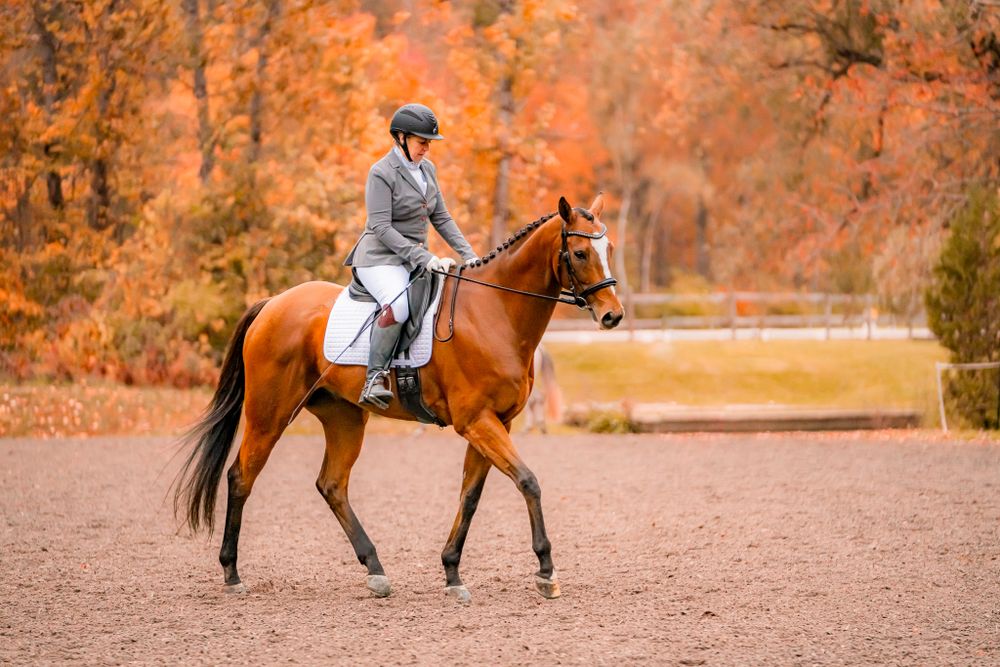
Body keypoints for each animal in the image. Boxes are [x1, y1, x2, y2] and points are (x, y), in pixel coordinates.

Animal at [173, 194, 624, 603]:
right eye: (580, 253)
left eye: (610, 250)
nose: (613, 316)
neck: (496, 311)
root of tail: (273, 303)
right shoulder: (477, 421)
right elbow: (528, 481)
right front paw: (546, 571)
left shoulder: (496, 422)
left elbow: (471, 496)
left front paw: (452, 572)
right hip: (270, 415)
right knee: (241, 477)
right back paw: (232, 573)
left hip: (345, 418)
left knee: (332, 485)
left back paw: (375, 570)